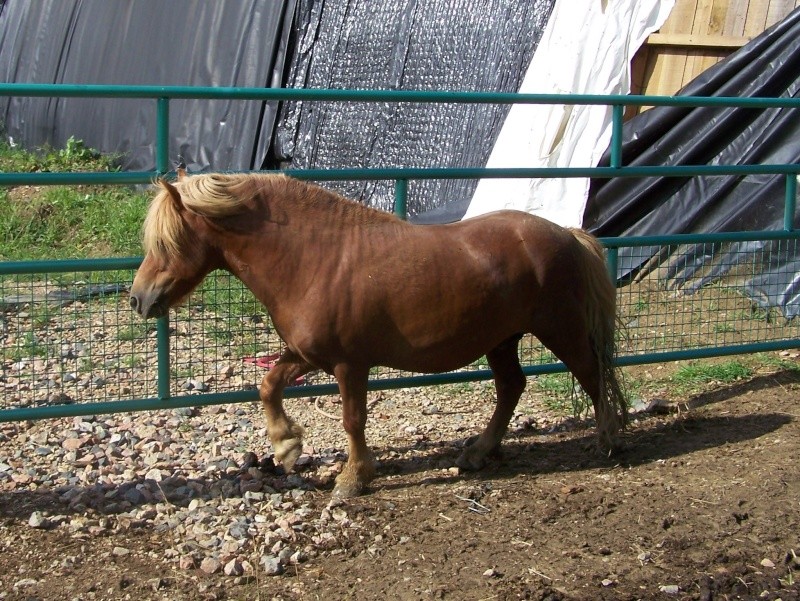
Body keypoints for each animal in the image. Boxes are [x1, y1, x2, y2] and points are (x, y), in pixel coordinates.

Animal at [130, 170, 624, 496]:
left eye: (168, 242)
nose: (138, 299)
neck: (313, 258)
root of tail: (567, 234)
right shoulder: (307, 354)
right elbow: (268, 384)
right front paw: (286, 446)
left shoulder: (350, 364)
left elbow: (353, 420)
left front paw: (353, 478)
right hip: (502, 341)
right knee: (512, 388)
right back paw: (478, 453)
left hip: (561, 330)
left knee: (592, 376)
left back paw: (609, 441)